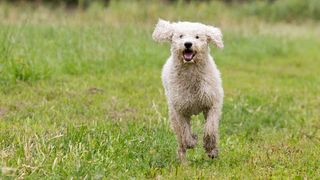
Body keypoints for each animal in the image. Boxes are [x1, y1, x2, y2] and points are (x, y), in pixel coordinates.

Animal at [153, 19, 225, 161]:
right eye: (180, 36)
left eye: (197, 37)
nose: (187, 44)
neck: (190, 71)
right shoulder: (180, 109)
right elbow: (185, 131)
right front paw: (192, 141)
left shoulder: (212, 103)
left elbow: (210, 128)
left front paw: (211, 149)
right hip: (172, 113)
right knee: (180, 140)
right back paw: (183, 160)